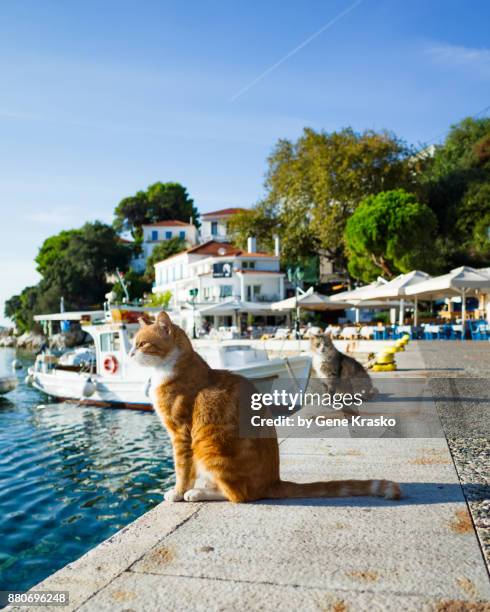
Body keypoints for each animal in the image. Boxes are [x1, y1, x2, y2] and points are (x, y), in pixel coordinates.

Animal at [131, 314, 402, 504]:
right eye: (133, 344)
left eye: (142, 344)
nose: (131, 353)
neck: (170, 368)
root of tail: (274, 480)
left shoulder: (181, 434)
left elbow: (183, 470)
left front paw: (178, 492)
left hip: (208, 446)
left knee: (239, 495)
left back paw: (198, 494)